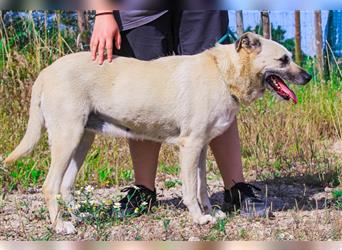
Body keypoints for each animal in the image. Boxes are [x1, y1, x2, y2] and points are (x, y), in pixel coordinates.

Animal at [4, 32, 312, 233]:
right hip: (67, 138)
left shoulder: (201, 147)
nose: (308, 77)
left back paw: (80, 215)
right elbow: (190, 189)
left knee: (66, 186)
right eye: (283, 60)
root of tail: (46, 71)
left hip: (82, 139)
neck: (224, 72)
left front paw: (210, 212)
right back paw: (61, 226)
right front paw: (198, 219)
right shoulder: (190, 146)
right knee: (50, 186)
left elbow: (202, 186)